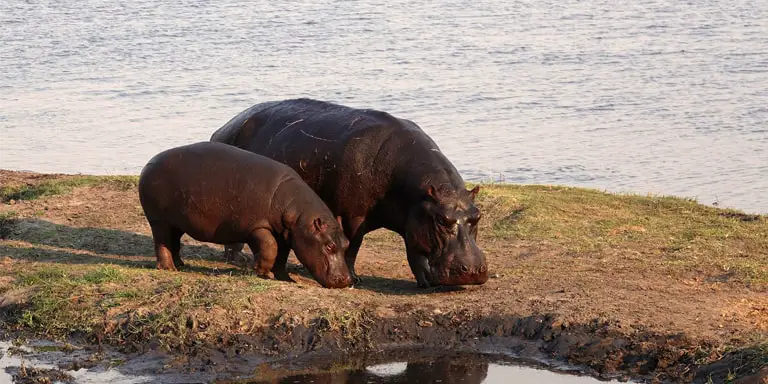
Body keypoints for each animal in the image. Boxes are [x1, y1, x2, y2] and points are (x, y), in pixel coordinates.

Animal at [139, 141, 354, 288]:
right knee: (162, 242)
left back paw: (181, 265)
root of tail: (149, 162)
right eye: (330, 246)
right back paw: (168, 268)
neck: (298, 215)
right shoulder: (258, 227)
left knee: (173, 242)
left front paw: (285, 278)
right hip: (159, 220)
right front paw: (260, 272)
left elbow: (282, 256)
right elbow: (270, 247)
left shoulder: (286, 234)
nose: (346, 280)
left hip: (177, 223)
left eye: (346, 243)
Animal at [210, 97, 486, 286]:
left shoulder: (413, 220)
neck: (416, 193)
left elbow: (414, 251)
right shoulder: (355, 216)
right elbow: (353, 245)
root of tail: (223, 128)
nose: (473, 271)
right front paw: (354, 278)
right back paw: (236, 259)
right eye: (441, 220)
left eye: (477, 216)